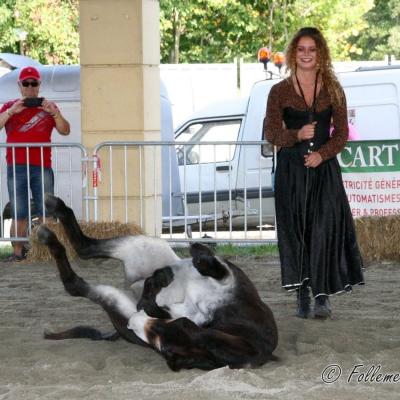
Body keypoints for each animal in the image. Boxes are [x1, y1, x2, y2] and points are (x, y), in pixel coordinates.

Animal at [38, 195, 278, 370]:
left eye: (165, 348)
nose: (135, 322)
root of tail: (131, 282)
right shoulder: (229, 279)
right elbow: (209, 263)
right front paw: (197, 251)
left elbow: (154, 303)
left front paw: (154, 289)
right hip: (144, 244)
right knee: (85, 247)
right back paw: (56, 208)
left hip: (117, 293)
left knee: (76, 277)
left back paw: (50, 237)